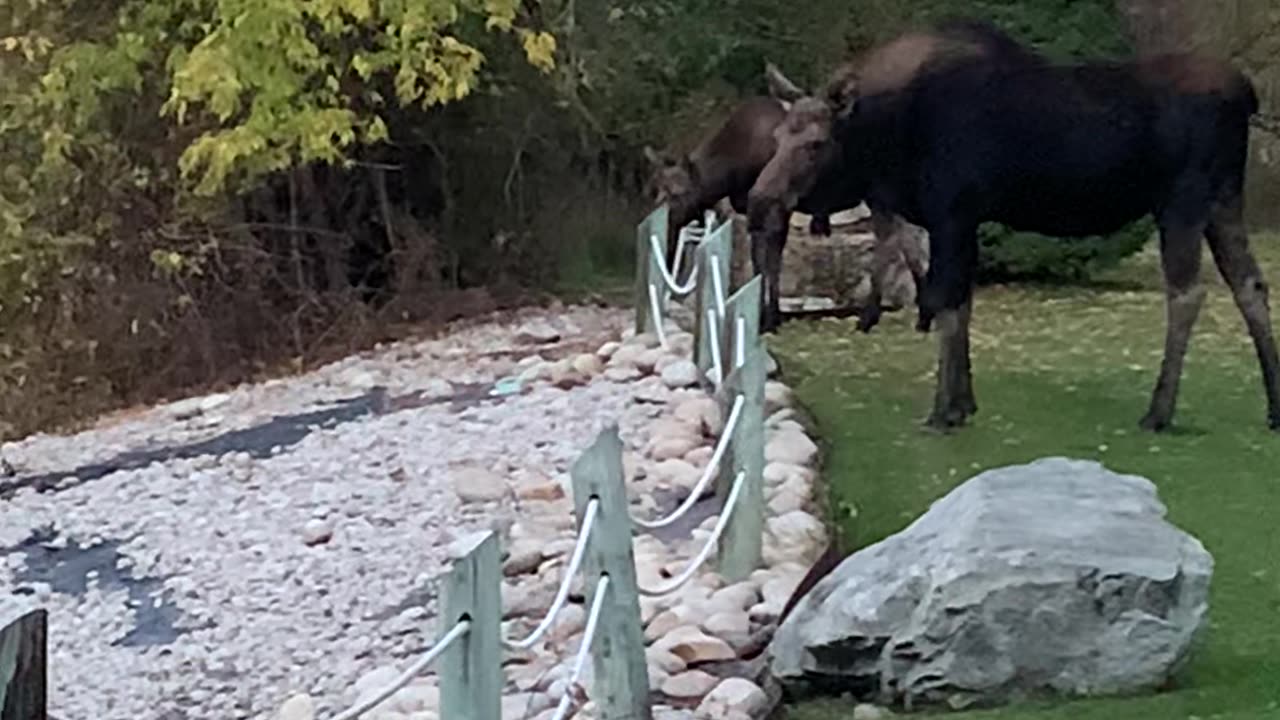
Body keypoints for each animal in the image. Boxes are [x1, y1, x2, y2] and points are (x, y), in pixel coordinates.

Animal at [747, 19, 1280, 427]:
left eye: (815, 143)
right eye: (777, 136)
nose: (758, 198)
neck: (885, 142)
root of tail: (1249, 95)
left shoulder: (951, 214)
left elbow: (946, 305)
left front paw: (942, 411)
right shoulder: (961, 220)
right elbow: (961, 306)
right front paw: (964, 403)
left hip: (1181, 202)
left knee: (1187, 293)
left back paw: (1159, 411)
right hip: (1223, 201)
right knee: (1251, 284)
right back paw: (1273, 407)